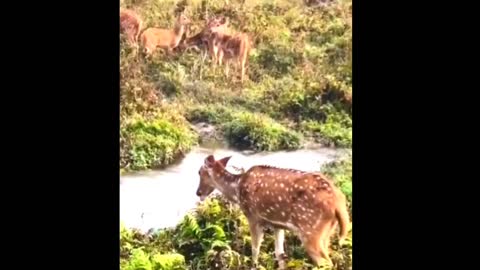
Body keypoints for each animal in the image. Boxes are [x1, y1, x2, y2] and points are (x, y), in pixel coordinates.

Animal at [197, 155, 350, 268]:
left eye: (199, 171)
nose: (198, 193)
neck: (237, 190)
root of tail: (338, 202)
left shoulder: (253, 217)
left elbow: (255, 249)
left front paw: (253, 266)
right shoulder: (277, 225)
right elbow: (279, 254)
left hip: (311, 230)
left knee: (326, 262)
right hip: (327, 232)